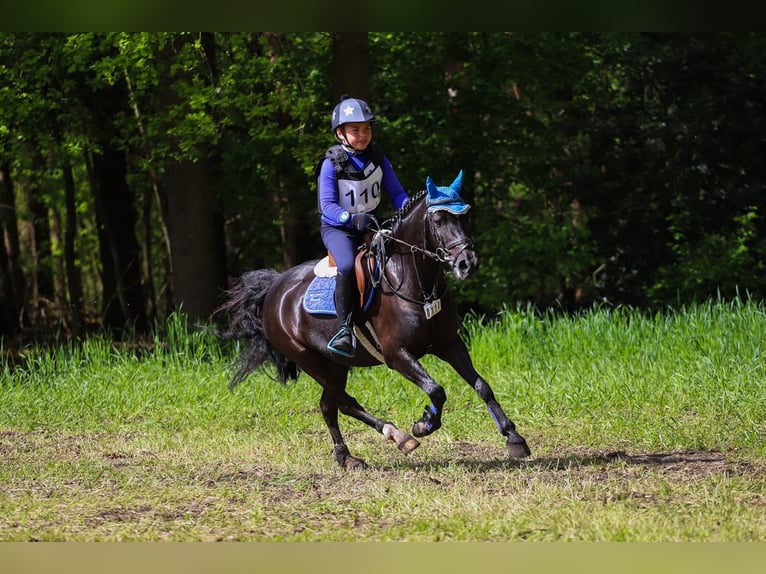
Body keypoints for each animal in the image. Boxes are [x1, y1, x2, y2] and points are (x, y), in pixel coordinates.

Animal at [213, 170, 532, 468]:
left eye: (466, 216)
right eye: (439, 219)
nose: (467, 264)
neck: (417, 283)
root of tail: (274, 288)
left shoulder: (449, 344)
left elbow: (482, 386)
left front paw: (514, 438)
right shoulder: (397, 354)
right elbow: (436, 390)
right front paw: (423, 424)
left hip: (335, 363)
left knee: (329, 405)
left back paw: (346, 457)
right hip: (307, 359)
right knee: (344, 402)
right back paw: (398, 436)